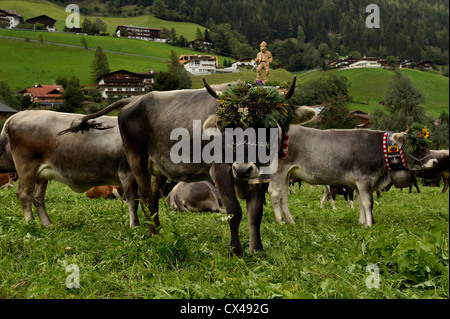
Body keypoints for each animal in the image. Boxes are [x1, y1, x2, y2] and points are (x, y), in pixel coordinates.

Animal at [0, 110, 140, 228]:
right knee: (24, 195)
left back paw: (48, 225)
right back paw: (31, 223)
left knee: (37, 198)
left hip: (40, 175)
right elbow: (133, 201)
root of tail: (19, 114)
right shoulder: (128, 174)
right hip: (27, 168)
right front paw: (135, 226)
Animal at [63, 77, 316, 258]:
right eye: (230, 126)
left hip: (159, 169)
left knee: (153, 200)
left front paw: (257, 250)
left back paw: (160, 233)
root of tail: (135, 100)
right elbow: (235, 211)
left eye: (269, 126)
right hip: (137, 160)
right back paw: (152, 236)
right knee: (143, 199)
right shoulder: (221, 170)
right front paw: (236, 251)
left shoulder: (259, 176)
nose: (243, 169)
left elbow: (256, 214)